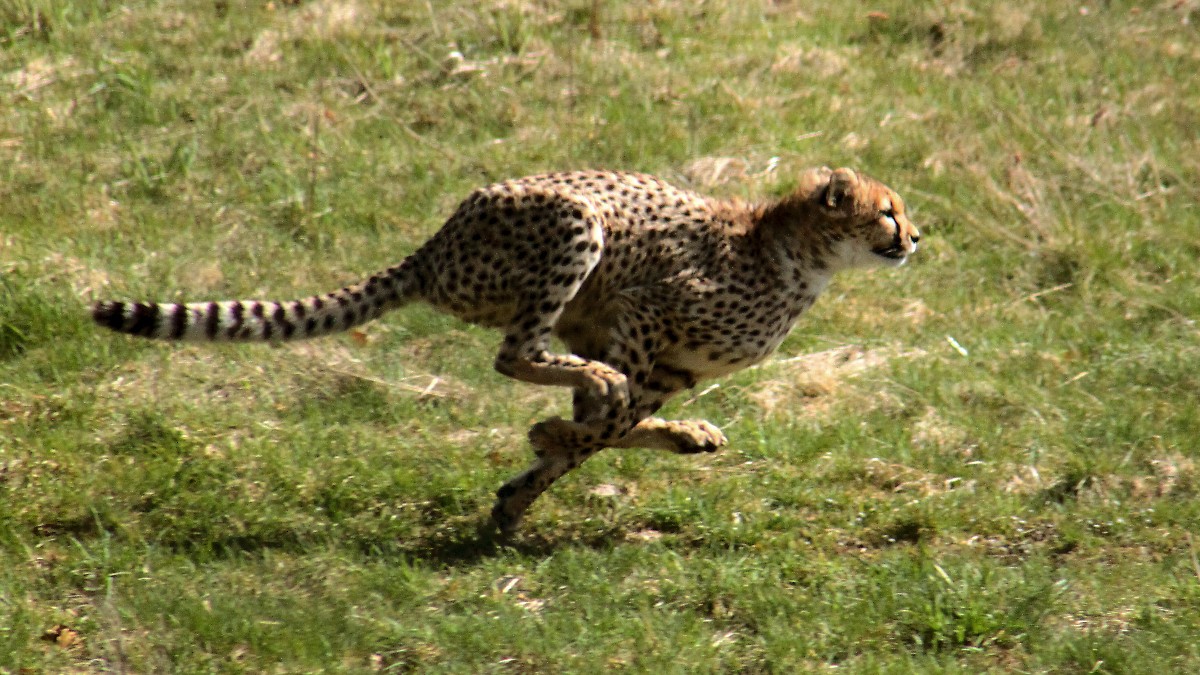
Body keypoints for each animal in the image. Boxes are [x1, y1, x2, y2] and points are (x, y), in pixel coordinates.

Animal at [92, 166, 920, 535]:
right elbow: (603, 418)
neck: (797, 256)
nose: (917, 236)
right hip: (574, 225)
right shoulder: (642, 312)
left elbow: (607, 427)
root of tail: (433, 246)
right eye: (887, 212)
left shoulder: (663, 359)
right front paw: (544, 442)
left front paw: (523, 487)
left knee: (558, 367)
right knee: (516, 352)